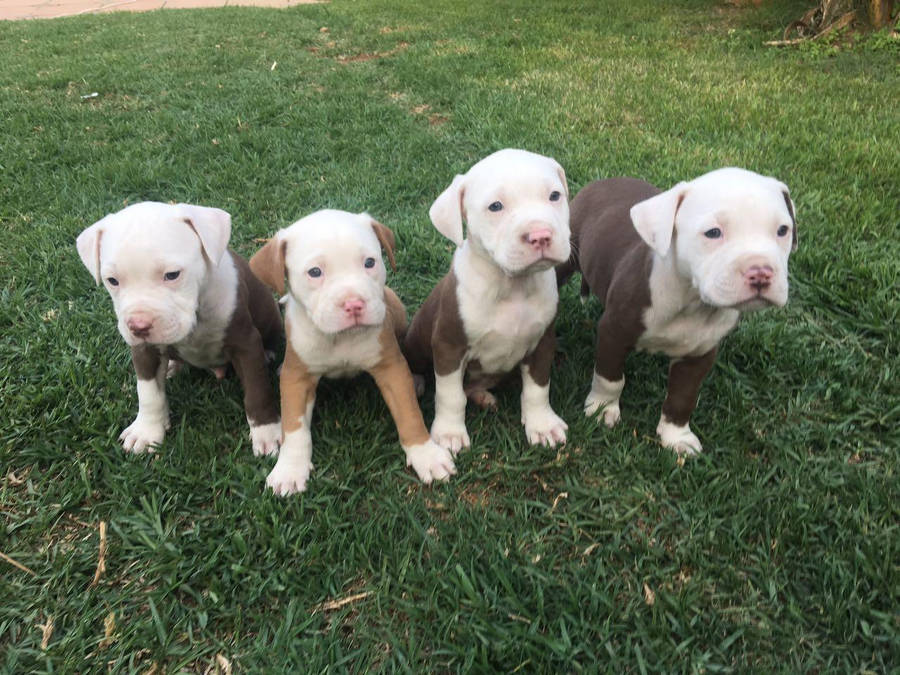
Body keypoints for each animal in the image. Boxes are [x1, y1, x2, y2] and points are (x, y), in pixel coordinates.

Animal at [76, 198, 284, 456]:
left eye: (172, 275)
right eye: (112, 281)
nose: (138, 325)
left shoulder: (245, 344)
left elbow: (257, 390)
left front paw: (267, 433)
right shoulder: (144, 350)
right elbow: (148, 393)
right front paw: (146, 430)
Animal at [250, 209, 458, 494]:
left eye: (370, 262)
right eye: (315, 272)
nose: (354, 304)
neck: (341, 338)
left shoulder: (390, 368)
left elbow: (409, 413)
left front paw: (427, 455)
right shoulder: (296, 380)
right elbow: (293, 427)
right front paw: (289, 470)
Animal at [406, 149, 572, 454]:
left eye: (554, 196)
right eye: (495, 206)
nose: (540, 235)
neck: (512, 286)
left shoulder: (543, 341)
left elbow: (538, 388)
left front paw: (542, 425)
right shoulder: (449, 346)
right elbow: (450, 395)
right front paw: (449, 433)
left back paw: (482, 396)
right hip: (417, 340)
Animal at [560, 167, 800, 456]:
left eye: (783, 230)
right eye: (713, 233)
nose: (761, 272)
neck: (692, 301)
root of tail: (606, 180)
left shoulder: (700, 354)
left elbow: (683, 396)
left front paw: (676, 437)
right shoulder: (613, 332)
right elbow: (610, 379)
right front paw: (601, 410)